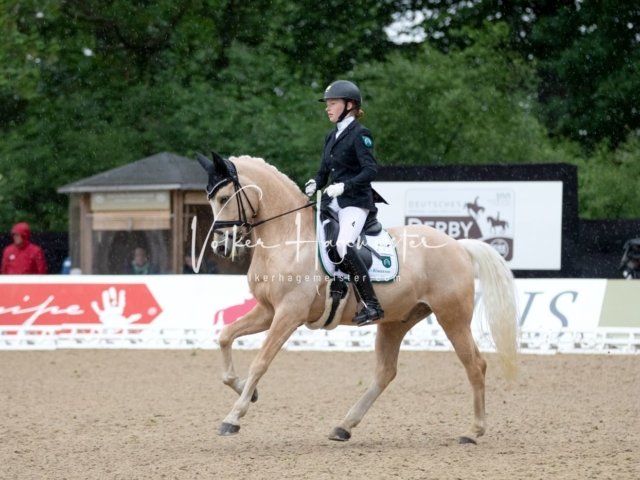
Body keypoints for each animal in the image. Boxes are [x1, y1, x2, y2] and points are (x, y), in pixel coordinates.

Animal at [196, 152, 519, 444]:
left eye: (224, 197)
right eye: (210, 199)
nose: (221, 247)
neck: (288, 239)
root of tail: (459, 245)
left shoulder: (288, 314)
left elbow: (260, 362)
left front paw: (233, 417)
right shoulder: (267, 310)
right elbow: (224, 337)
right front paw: (246, 392)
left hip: (452, 317)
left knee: (475, 365)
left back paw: (473, 431)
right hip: (396, 321)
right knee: (385, 372)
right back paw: (343, 426)